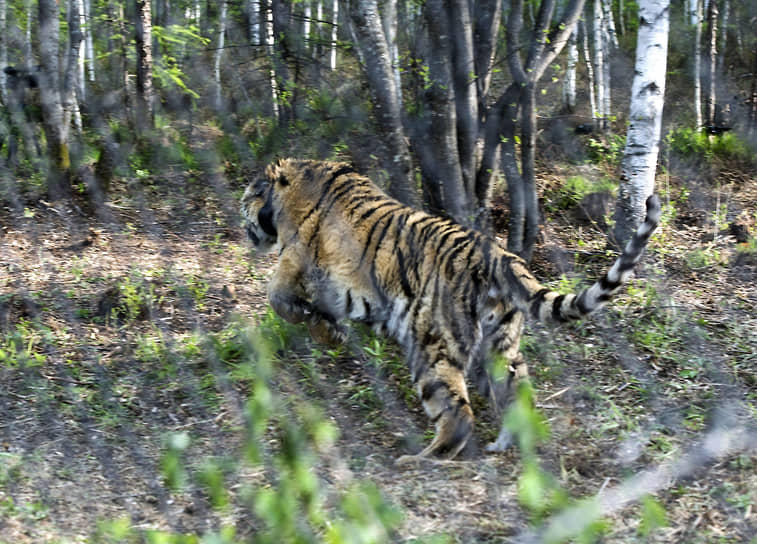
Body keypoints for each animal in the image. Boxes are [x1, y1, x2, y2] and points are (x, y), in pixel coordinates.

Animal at [241, 158, 661, 465]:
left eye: (248, 196)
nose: (241, 214)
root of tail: (499, 255)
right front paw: (332, 331)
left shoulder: (295, 262)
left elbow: (278, 299)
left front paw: (321, 331)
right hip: (499, 345)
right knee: (516, 391)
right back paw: (507, 443)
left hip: (432, 343)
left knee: (457, 414)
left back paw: (421, 459)